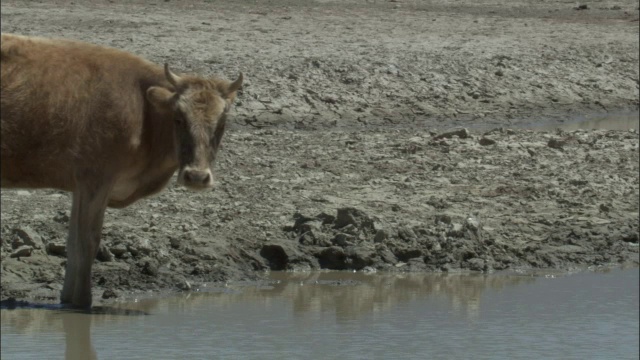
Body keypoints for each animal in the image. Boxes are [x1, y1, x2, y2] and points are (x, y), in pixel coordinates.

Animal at [0, 34, 242, 306]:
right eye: (178, 118)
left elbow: (73, 242)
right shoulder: (95, 178)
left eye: (222, 124)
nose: (197, 176)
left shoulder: (80, 186)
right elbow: (88, 242)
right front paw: (83, 302)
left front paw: (67, 300)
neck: (144, 113)